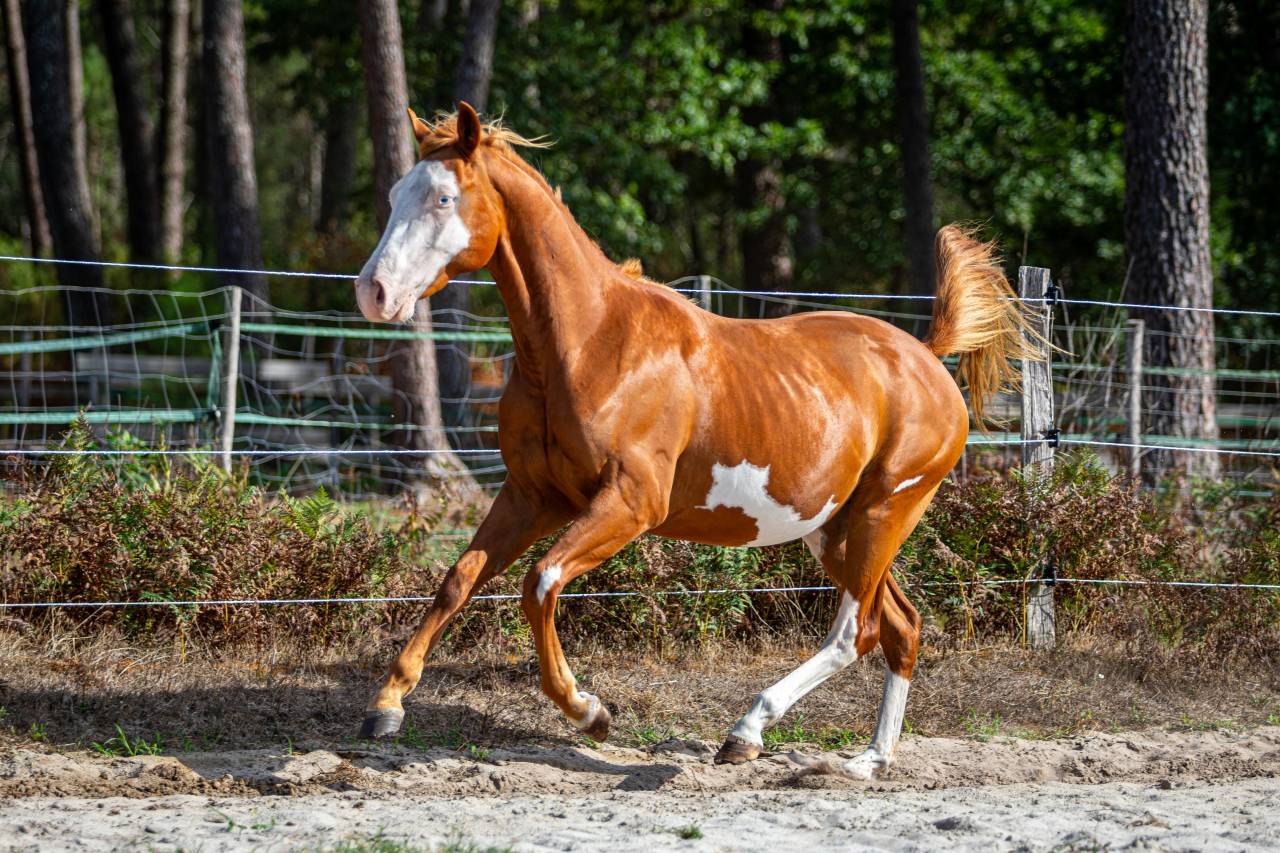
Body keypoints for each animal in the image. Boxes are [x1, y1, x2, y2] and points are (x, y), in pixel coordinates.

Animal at [353, 101, 1039, 778]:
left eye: (443, 197)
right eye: (392, 193)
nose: (373, 292)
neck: (587, 345)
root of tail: (926, 356)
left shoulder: (631, 504)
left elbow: (540, 583)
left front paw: (589, 712)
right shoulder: (532, 496)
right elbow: (459, 578)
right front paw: (385, 706)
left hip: (884, 513)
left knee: (856, 634)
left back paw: (749, 731)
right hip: (839, 530)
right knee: (902, 627)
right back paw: (865, 761)